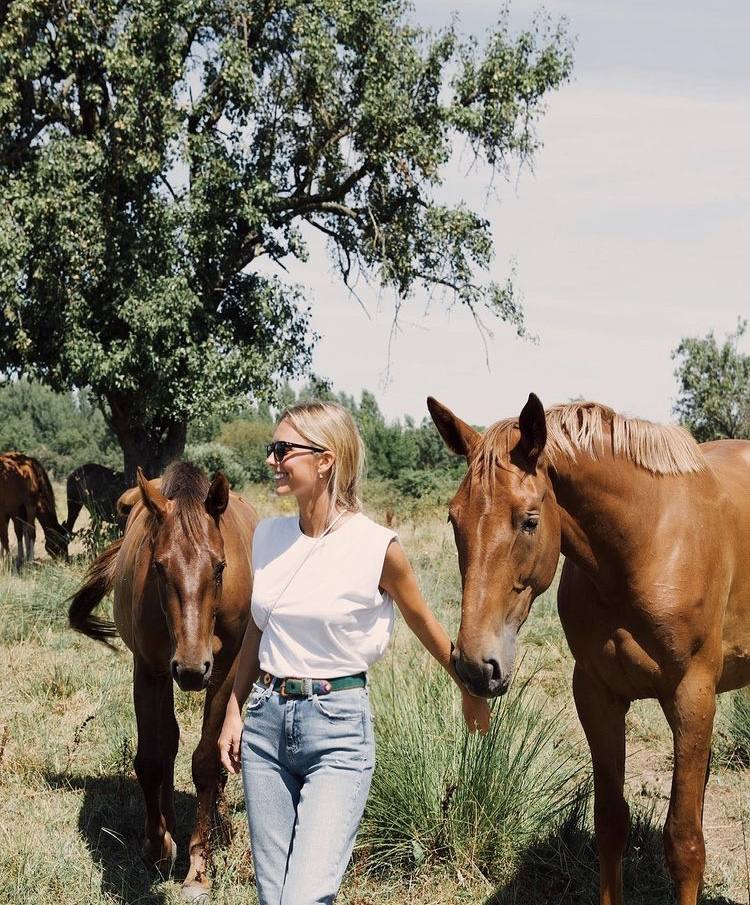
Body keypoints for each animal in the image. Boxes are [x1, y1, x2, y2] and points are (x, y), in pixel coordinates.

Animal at [70, 462, 258, 900]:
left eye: (219, 567)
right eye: (158, 566)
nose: (191, 669)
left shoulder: (224, 672)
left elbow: (207, 761)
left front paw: (199, 870)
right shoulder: (150, 669)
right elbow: (153, 757)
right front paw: (158, 845)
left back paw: (217, 824)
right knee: (168, 741)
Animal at [428, 394, 750, 904]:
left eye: (529, 521)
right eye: (453, 518)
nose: (477, 667)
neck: (646, 544)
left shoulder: (691, 694)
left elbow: (685, 843)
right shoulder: (597, 695)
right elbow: (611, 826)